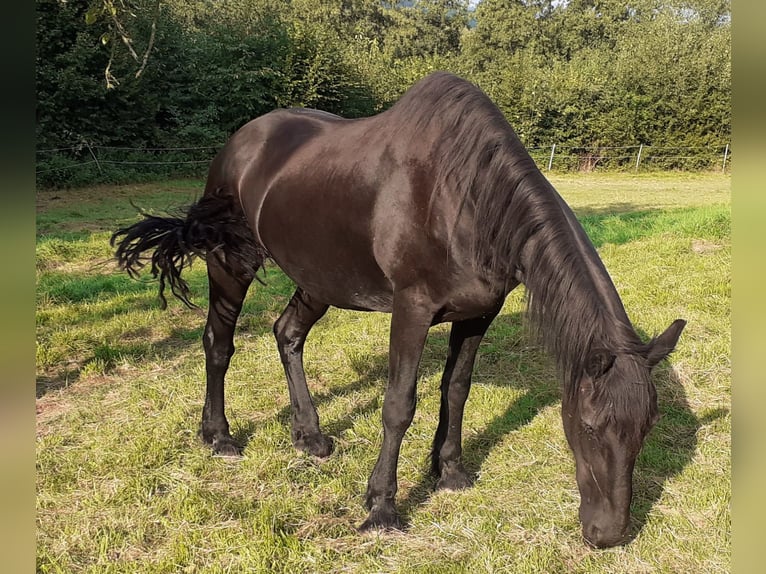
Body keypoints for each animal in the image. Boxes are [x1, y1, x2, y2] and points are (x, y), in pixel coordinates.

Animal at [111, 72, 688, 548]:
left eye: (646, 428)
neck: (465, 198)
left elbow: (456, 390)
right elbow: (398, 405)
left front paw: (450, 471)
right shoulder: (411, 310)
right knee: (220, 343)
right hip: (232, 262)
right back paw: (219, 436)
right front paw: (381, 508)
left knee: (287, 333)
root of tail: (239, 143)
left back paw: (309, 436)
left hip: (318, 280)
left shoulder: (478, 314)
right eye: (588, 427)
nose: (607, 534)